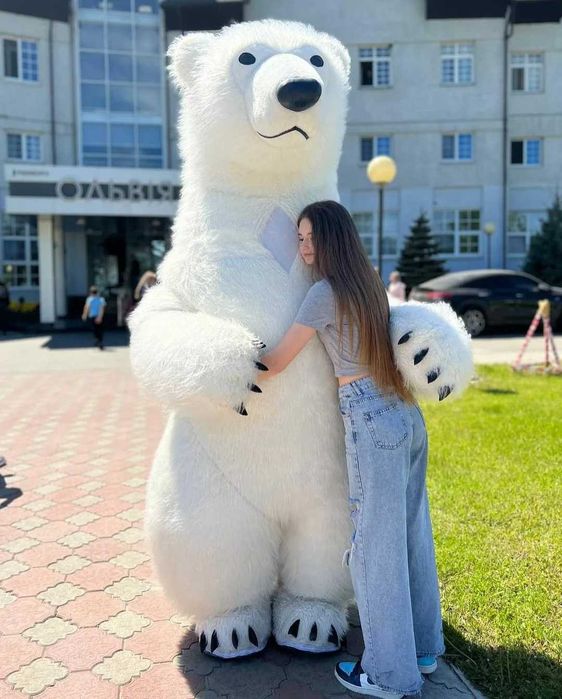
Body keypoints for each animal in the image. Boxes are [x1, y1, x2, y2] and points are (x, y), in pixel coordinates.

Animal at [129, 19, 473, 660]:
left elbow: (391, 314)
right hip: (202, 485)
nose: (299, 91)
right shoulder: (180, 274)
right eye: (246, 56)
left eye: (316, 59)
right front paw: (240, 366)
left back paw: (309, 621)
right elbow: (156, 330)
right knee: (210, 545)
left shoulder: (359, 280)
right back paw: (233, 626)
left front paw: (429, 356)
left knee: (325, 546)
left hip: (334, 484)